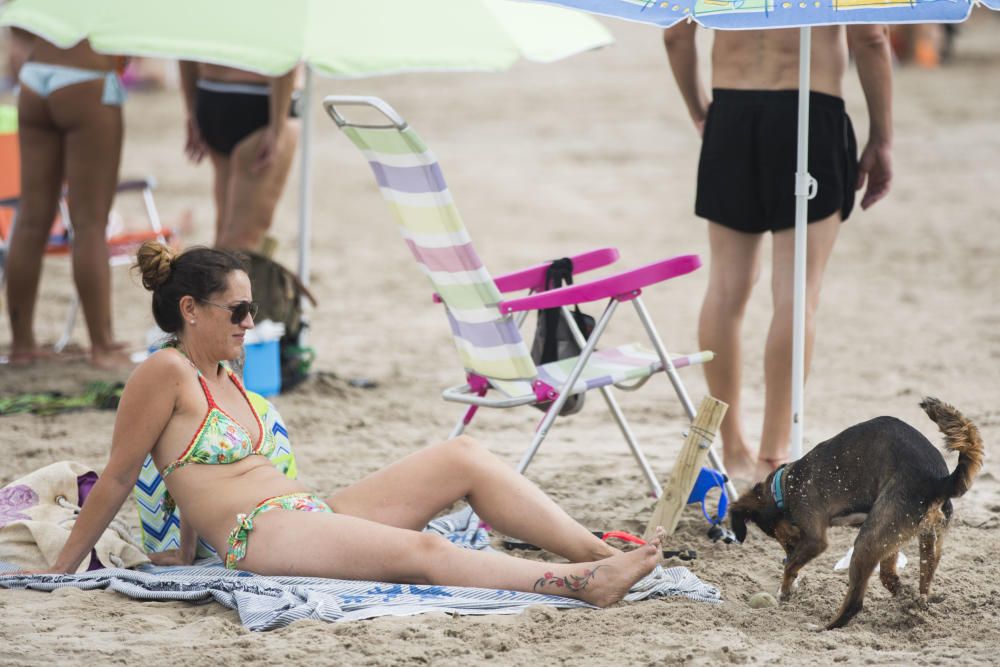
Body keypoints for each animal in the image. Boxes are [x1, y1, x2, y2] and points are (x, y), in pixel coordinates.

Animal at [732, 400, 980, 628]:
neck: (784, 485)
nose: (786, 552)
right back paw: (914, 605)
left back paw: (825, 627)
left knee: (855, 603)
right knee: (905, 581)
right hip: (919, 539)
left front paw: (784, 590)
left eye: (781, 538)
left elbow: (790, 566)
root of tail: (939, 482)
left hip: (866, 544)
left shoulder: (814, 538)